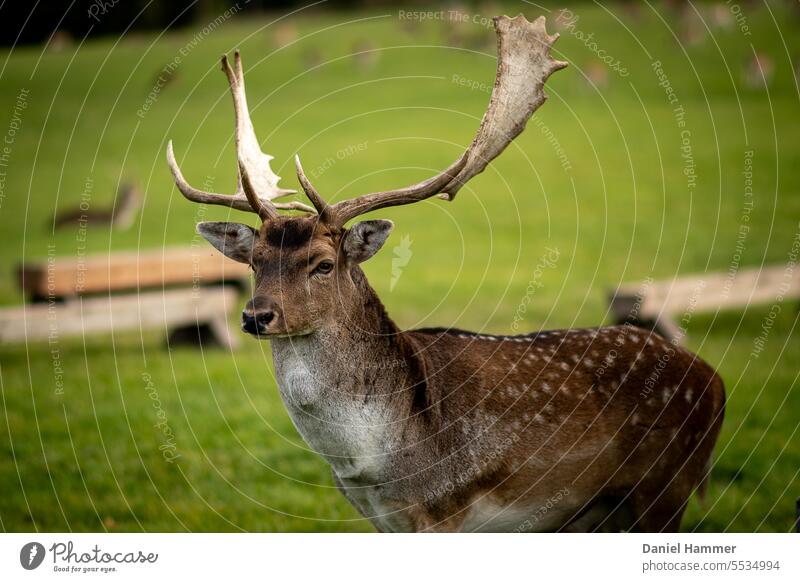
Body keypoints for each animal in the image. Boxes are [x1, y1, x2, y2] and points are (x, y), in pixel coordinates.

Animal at [167, 13, 724, 532]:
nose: (256, 316)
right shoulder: (380, 518)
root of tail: (715, 382)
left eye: (323, 264)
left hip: (667, 486)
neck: (371, 467)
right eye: (255, 261)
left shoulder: (443, 508)